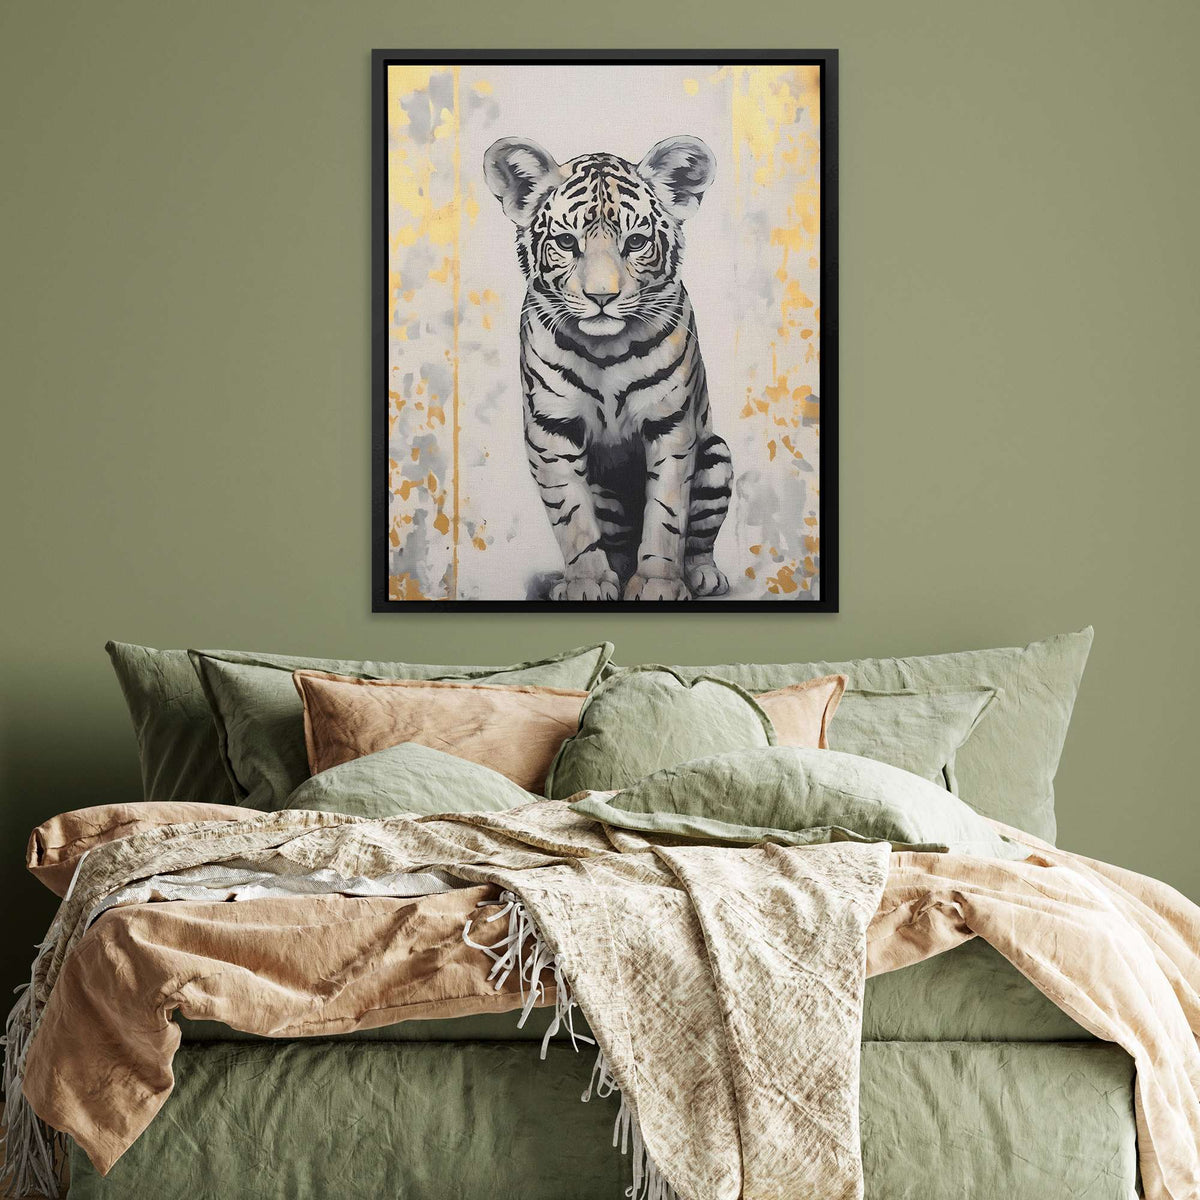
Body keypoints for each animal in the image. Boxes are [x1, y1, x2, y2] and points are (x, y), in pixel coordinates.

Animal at [483, 134, 734, 601]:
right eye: (567, 243)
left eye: (635, 243)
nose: (602, 297)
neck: (606, 350)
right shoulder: (551, 429)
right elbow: (571, 514)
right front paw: (586, 583)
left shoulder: (672, 425)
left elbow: (667, 513)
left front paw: (657, 585)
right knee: (615, 541)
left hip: (716, 456)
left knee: (699, 538)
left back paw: (703, 575)